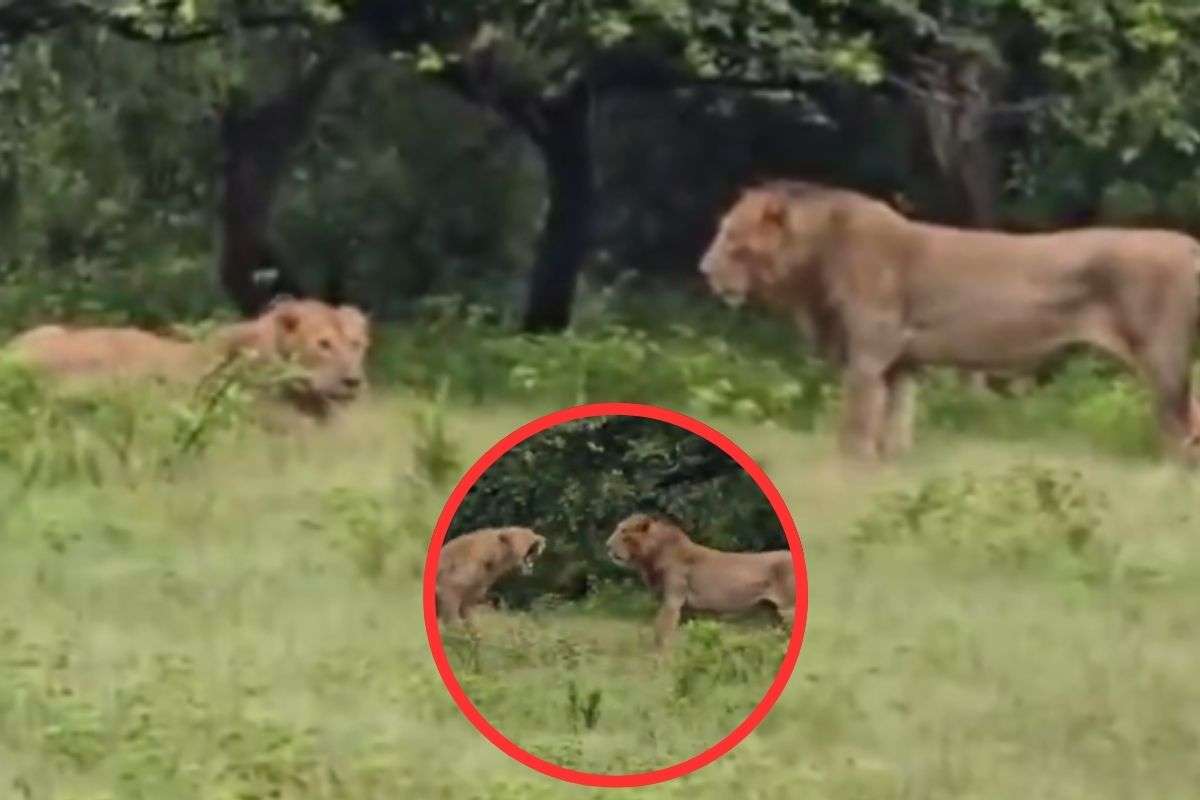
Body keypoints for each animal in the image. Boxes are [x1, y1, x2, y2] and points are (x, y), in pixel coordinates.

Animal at [605, 513, 795, 648]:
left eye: (624, 531)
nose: (607, 545)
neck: (653, 555)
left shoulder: (673, 600)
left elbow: (661, 633)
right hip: (774, 613)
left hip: (788, 609)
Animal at [699, 180, 1200, 462]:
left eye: (732, 237)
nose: (704, 270)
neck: (814, 264)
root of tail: (1191, 246)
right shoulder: (901, 363)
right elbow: (896, 422)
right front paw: (889, 464)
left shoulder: (868, 354)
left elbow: (856, 423)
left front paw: (850, 467)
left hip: (1163, 357)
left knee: (1180, 424)